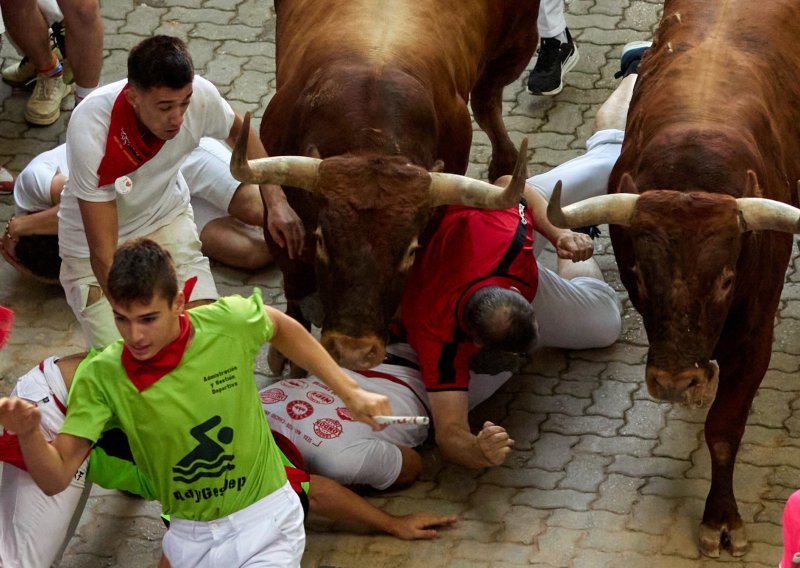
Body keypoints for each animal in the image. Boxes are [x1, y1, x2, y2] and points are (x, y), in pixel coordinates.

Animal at [234, 0, 540, 370]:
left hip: (517, 45)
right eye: (321, 240)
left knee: (488, 99)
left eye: (410, 250)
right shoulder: (278, 217)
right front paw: (286, 351)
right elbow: (294, 282)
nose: (353, 351)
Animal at [548, 0, 800, 560]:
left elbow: (724, 429)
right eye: (640, 275)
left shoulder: (757, 334)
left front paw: (721, 520)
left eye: (727, 278)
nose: (675, 382)